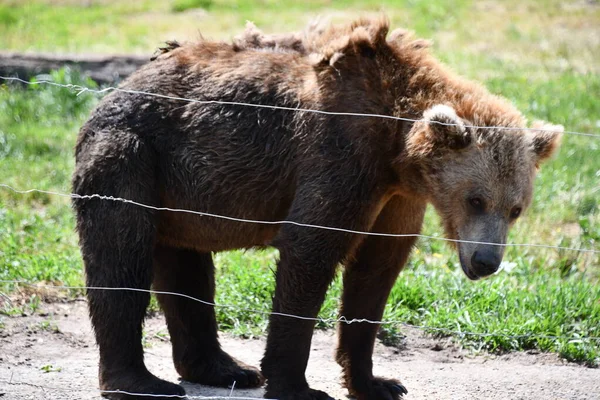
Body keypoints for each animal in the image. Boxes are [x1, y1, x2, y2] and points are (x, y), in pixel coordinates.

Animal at [71, 17, 564, 400]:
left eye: (516, 208)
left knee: (185, 266)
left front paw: (377, 382)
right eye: (475, 198)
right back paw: (140, 381)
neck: (396, 151)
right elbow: (312, 248)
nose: (486, 261)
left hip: (180, 192)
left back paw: (226, 369)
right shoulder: (339, 158)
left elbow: (375, 272)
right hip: (133, 155)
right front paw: (297, 385)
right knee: (121, 256)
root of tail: (116, 89)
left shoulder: (398, 198)